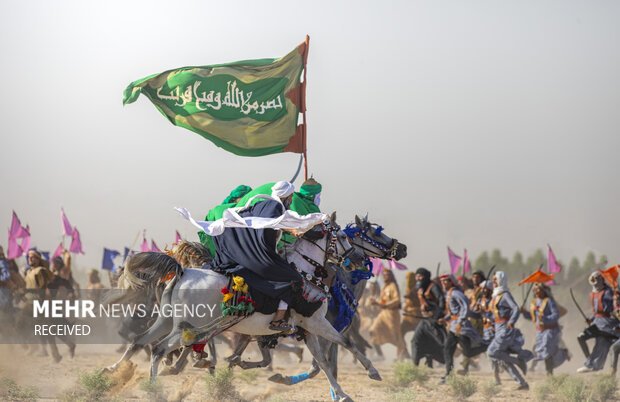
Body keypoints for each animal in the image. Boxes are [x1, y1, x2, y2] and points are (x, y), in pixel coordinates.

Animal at [104, 217, 380, 402]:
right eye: (343, 237)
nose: (358, 259)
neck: (305, 273)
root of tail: (183, 272)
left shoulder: (308, 329)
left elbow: (322, 362)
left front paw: (342, 394)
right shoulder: (316, 322)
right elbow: (345, 342)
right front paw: (373, 371)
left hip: (166, 320)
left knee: (139, 341)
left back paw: (114, 370)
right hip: (190, 326)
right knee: (159, 348)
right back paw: (155, 389)